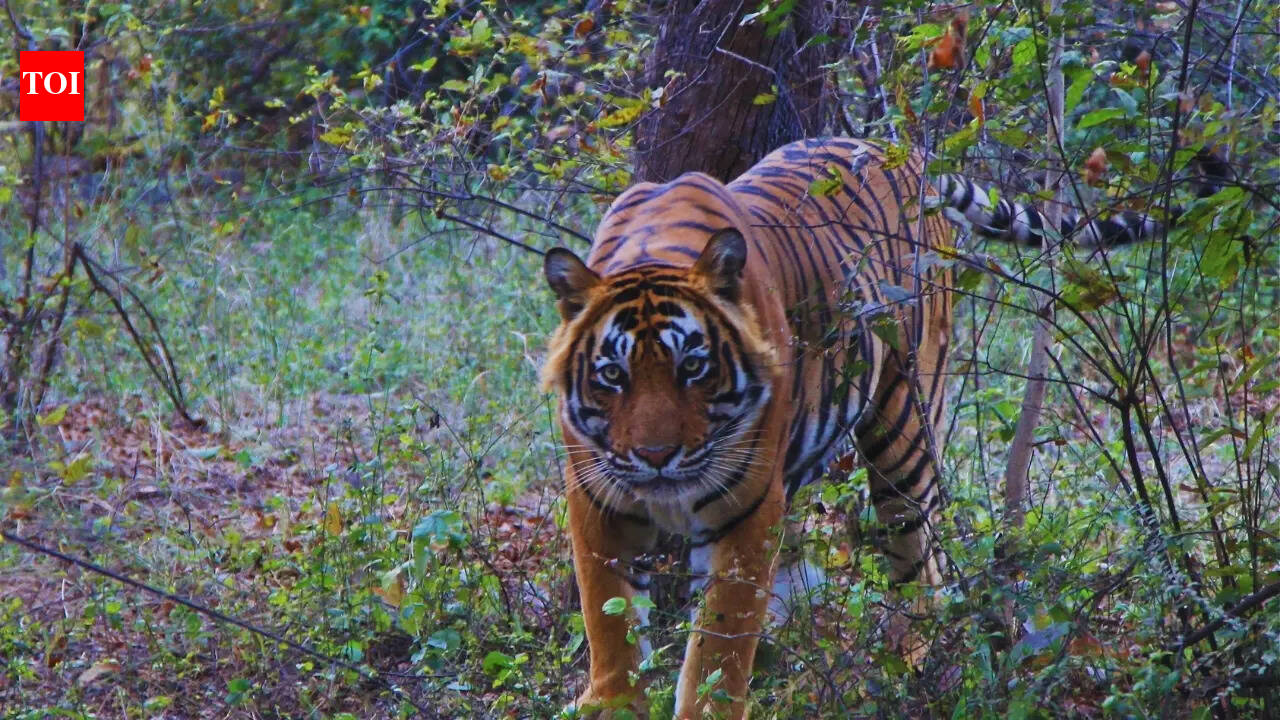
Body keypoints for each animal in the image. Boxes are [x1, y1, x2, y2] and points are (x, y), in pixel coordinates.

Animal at [541, 137, 1162, 719]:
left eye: (692, 367)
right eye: (613, 375)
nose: (656, 456)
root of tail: (905, 151)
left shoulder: (744, 502)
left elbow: (719, 637)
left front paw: (708, 706)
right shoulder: (597, 495)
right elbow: (608, 617)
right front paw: (612, 704)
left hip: (903, 427)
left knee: (919, 564)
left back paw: (904, 666)